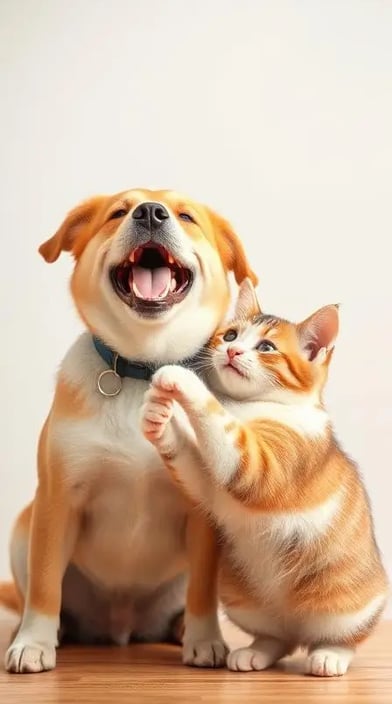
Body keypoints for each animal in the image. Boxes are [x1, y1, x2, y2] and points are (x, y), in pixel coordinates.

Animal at [0, 187, 256, 672]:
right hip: (25, 526)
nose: (150, 213)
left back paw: (181, 631)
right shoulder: (57, 499)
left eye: (186, 216)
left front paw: (205, 640)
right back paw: (52, 631)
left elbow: (202, 590)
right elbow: (44, 584)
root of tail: (121, 626)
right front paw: (34, 643)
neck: (144, 370)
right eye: (118, 212)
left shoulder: (202, 514)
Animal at [139, 280, 388, 676]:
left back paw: (330, 656)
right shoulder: (212, 486)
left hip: (345, 604)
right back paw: (256, 652)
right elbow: (196, 469)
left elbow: (223, 427)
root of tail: (299, 628)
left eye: (267, 348)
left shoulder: (260, 466)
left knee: (344, 635)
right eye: (230, 334)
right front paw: (158, 416)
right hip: (240, 595)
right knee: (278, 639)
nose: (233, 350)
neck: (249, 407)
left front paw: (183, 380)